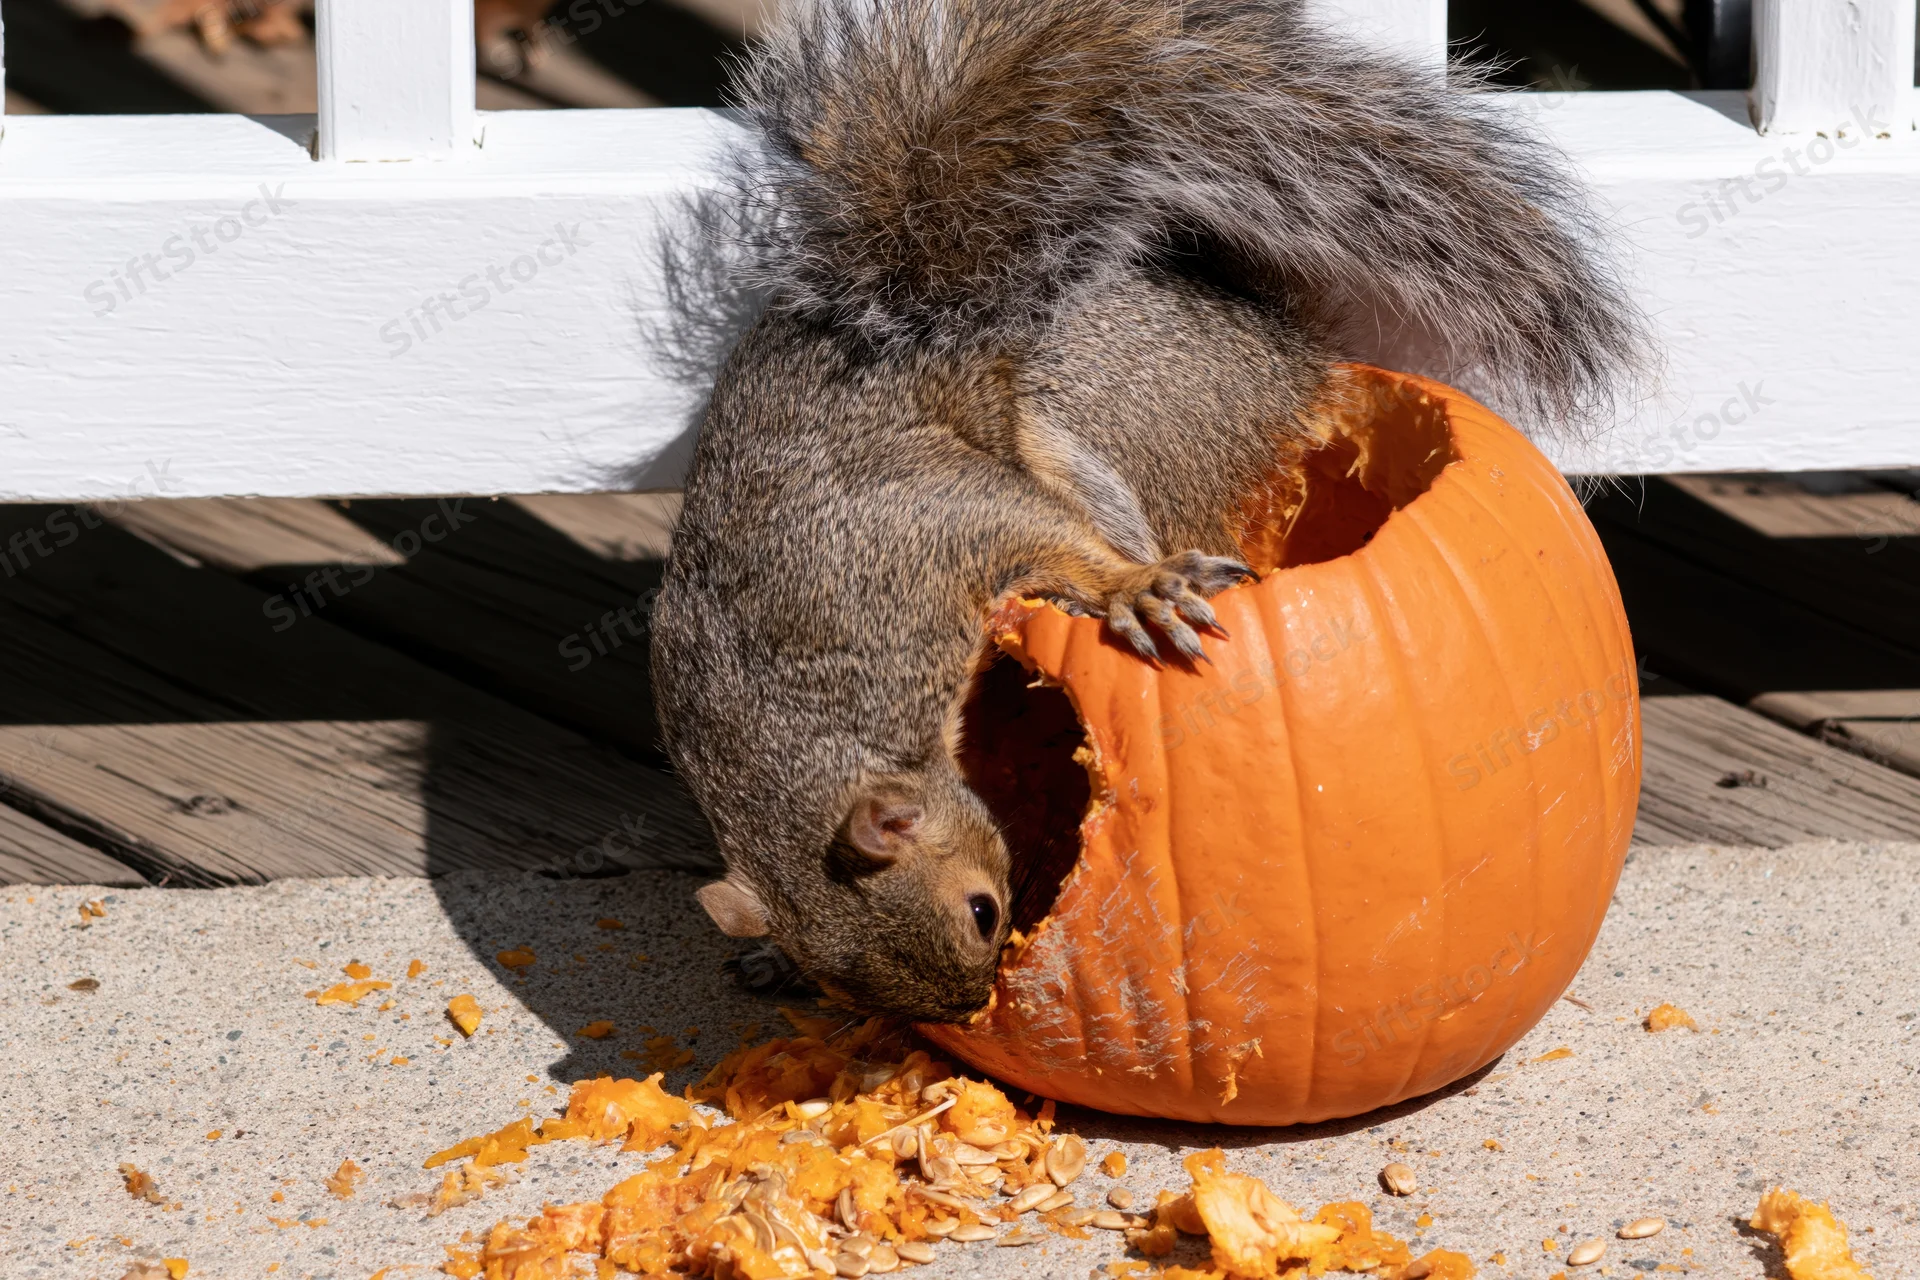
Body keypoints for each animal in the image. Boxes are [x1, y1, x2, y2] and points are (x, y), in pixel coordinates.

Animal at [651, 0, 1652, 1022]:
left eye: (981, 911)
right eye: (848, 989)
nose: (974, 1007)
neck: (781, 709)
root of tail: (1281, 349)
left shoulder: (930, 529)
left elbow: (1051, 537)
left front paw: (1135, 591)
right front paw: (771, 963)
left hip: (1101, 417)